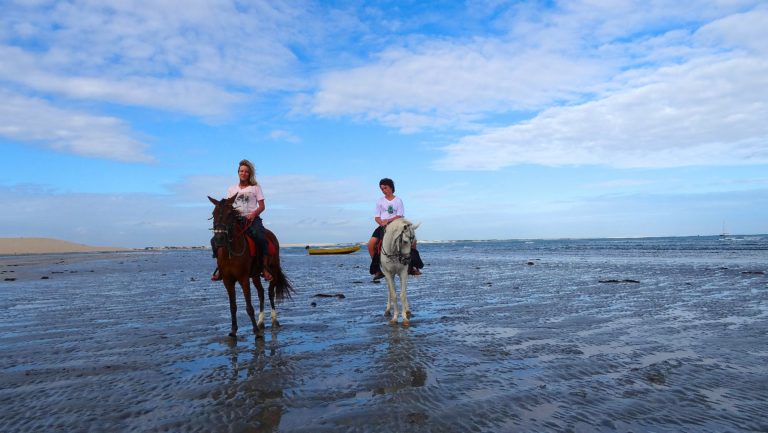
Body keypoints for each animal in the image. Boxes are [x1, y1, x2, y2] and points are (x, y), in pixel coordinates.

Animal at [208, 193, 292, 338]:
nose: (219, 239)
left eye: (229, 213)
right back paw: (260, 322)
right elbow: (233, 307)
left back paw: (274, 321)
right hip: (255, 276)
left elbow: (249, 306)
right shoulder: (227, 281)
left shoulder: (243, 279)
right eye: (214, 213)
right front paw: (233, 330)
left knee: (270, 293)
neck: (230, 253)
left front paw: (256, 333)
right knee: (261, 293)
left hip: (273, 271)